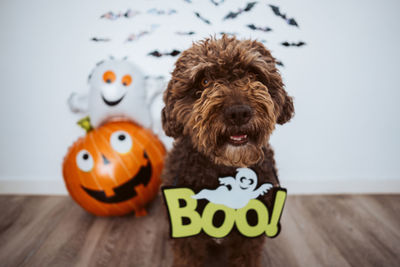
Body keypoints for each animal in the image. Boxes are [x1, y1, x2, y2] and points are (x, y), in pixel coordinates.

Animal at [161, 36, 296, 267]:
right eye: (204, 81)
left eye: (253, 74)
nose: (238, 113)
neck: (224, 166)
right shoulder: (186, 236)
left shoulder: (250, 235)